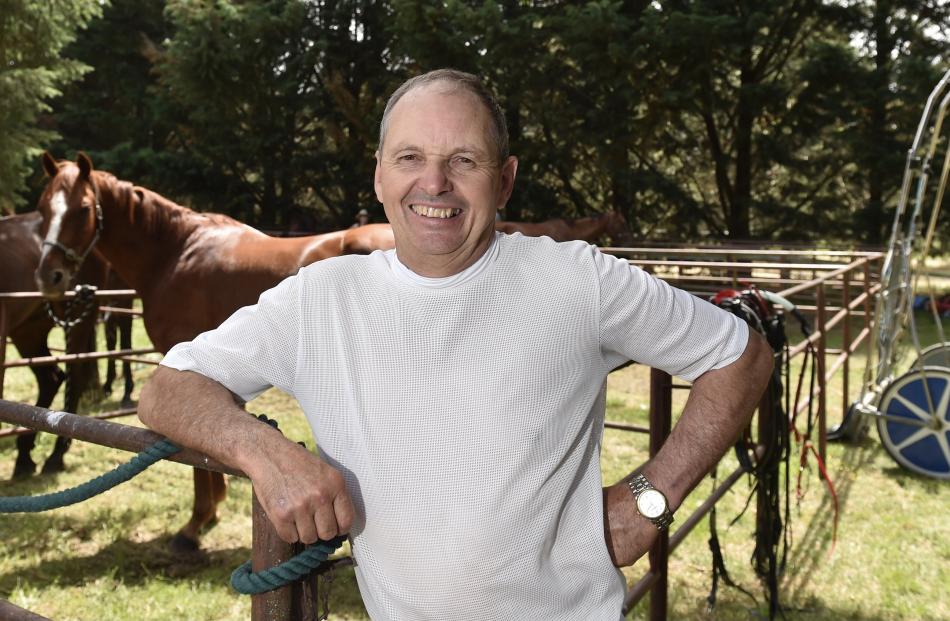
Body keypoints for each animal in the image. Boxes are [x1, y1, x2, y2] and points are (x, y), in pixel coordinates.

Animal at [33, 153, 392, 548]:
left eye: (83, 209)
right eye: (42, 208)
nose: (49, 277)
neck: (173, 254)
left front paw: (194, 526)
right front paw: (211, 511)